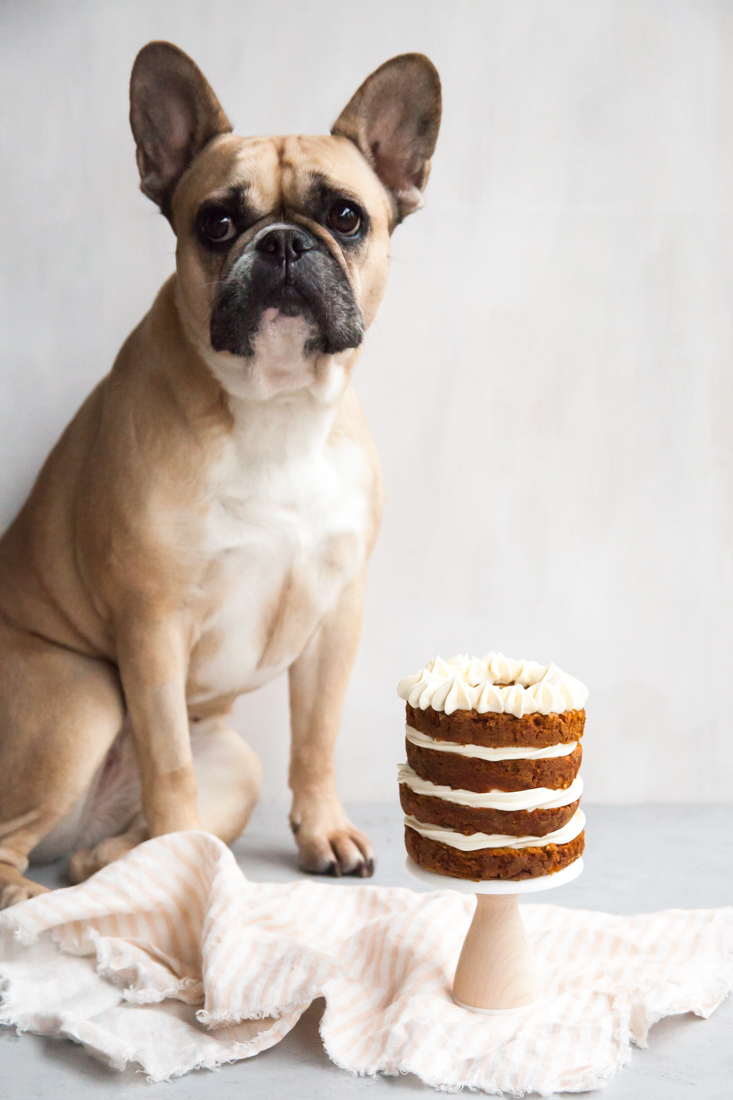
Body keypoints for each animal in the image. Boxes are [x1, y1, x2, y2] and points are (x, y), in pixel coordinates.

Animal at [0, 40, 440, 910]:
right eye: (217, 223)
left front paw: (324, 830)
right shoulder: (151, 625)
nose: (282, 243)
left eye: (346, 217)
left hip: (234, 764)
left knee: (105, 845)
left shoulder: (336, 616)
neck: (276, 406)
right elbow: (169, 764)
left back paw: (111, 862)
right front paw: (182, 861)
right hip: (78, 700)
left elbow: (316, 737)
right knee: (15, 837)